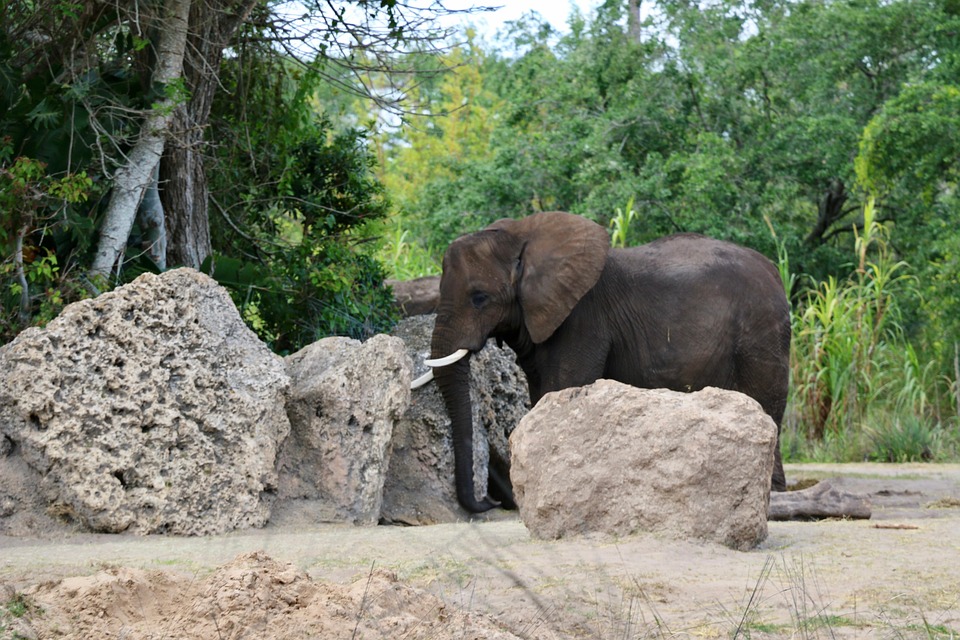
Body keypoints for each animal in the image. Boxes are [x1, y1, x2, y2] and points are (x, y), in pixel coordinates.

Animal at [412, 211, 791, 513]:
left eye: (479, 298)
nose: (490, 501)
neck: (523, 235)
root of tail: (775, 271)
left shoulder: (583, 318)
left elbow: (561, 388)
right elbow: (541, 395)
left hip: (761, 331)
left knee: (767, 403)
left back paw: (771, 495)